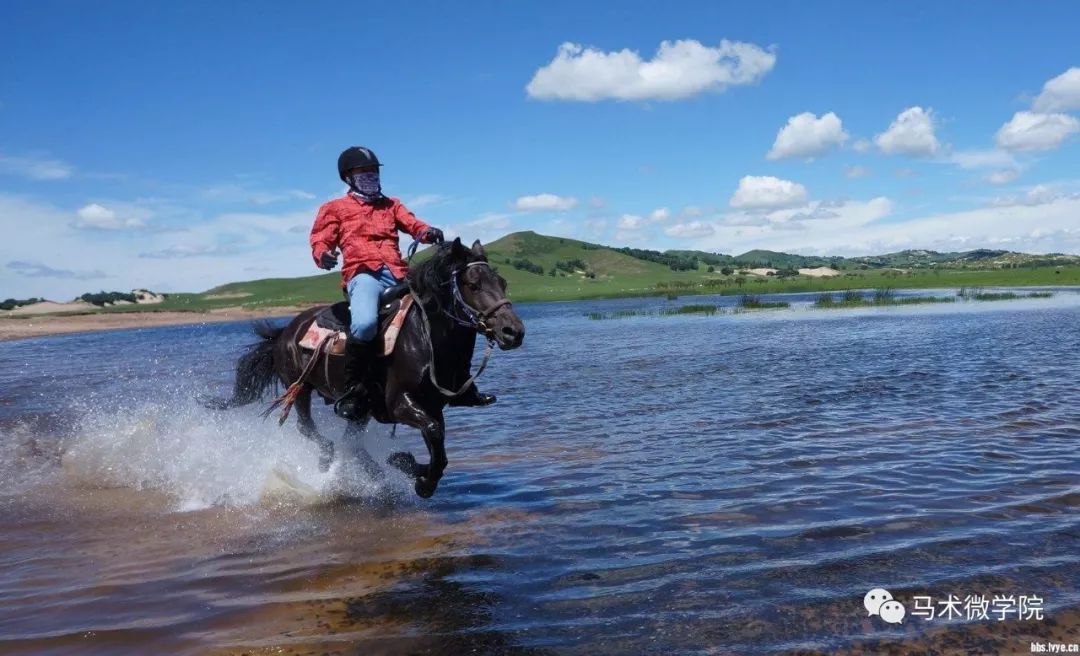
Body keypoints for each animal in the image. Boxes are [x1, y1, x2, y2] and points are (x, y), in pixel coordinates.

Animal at [206, 238, 527, 501]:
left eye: (503, 282)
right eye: (473, 285)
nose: (513, 332)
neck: (425, 337)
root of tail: (285, 332)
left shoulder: (432, 405)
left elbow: (439, 447)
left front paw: (407, 464)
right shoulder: (400, 403)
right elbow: (435, 434)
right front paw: (421, 481)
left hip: (360, 409)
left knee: (352, 445)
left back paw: (375, 474)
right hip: (301, 388)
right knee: (308, 427)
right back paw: (328, 458)